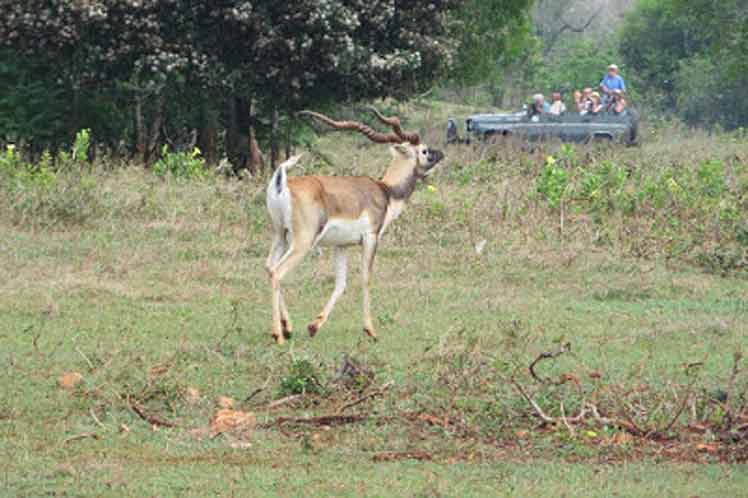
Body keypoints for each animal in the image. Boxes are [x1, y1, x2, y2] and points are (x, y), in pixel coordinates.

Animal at [266, 107, 444, 344]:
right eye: (424, 150)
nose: (440, 153)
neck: (386, 190)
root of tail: (283, 182)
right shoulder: (371, 238)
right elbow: (366, 278)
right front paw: (370, 330)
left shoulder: (340, 246)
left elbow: (341, 284)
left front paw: (314, 326)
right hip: (302, 242)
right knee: (278, 272)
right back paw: (278, 334)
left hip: (281, 235)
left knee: (269, 267)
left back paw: (288, 327)